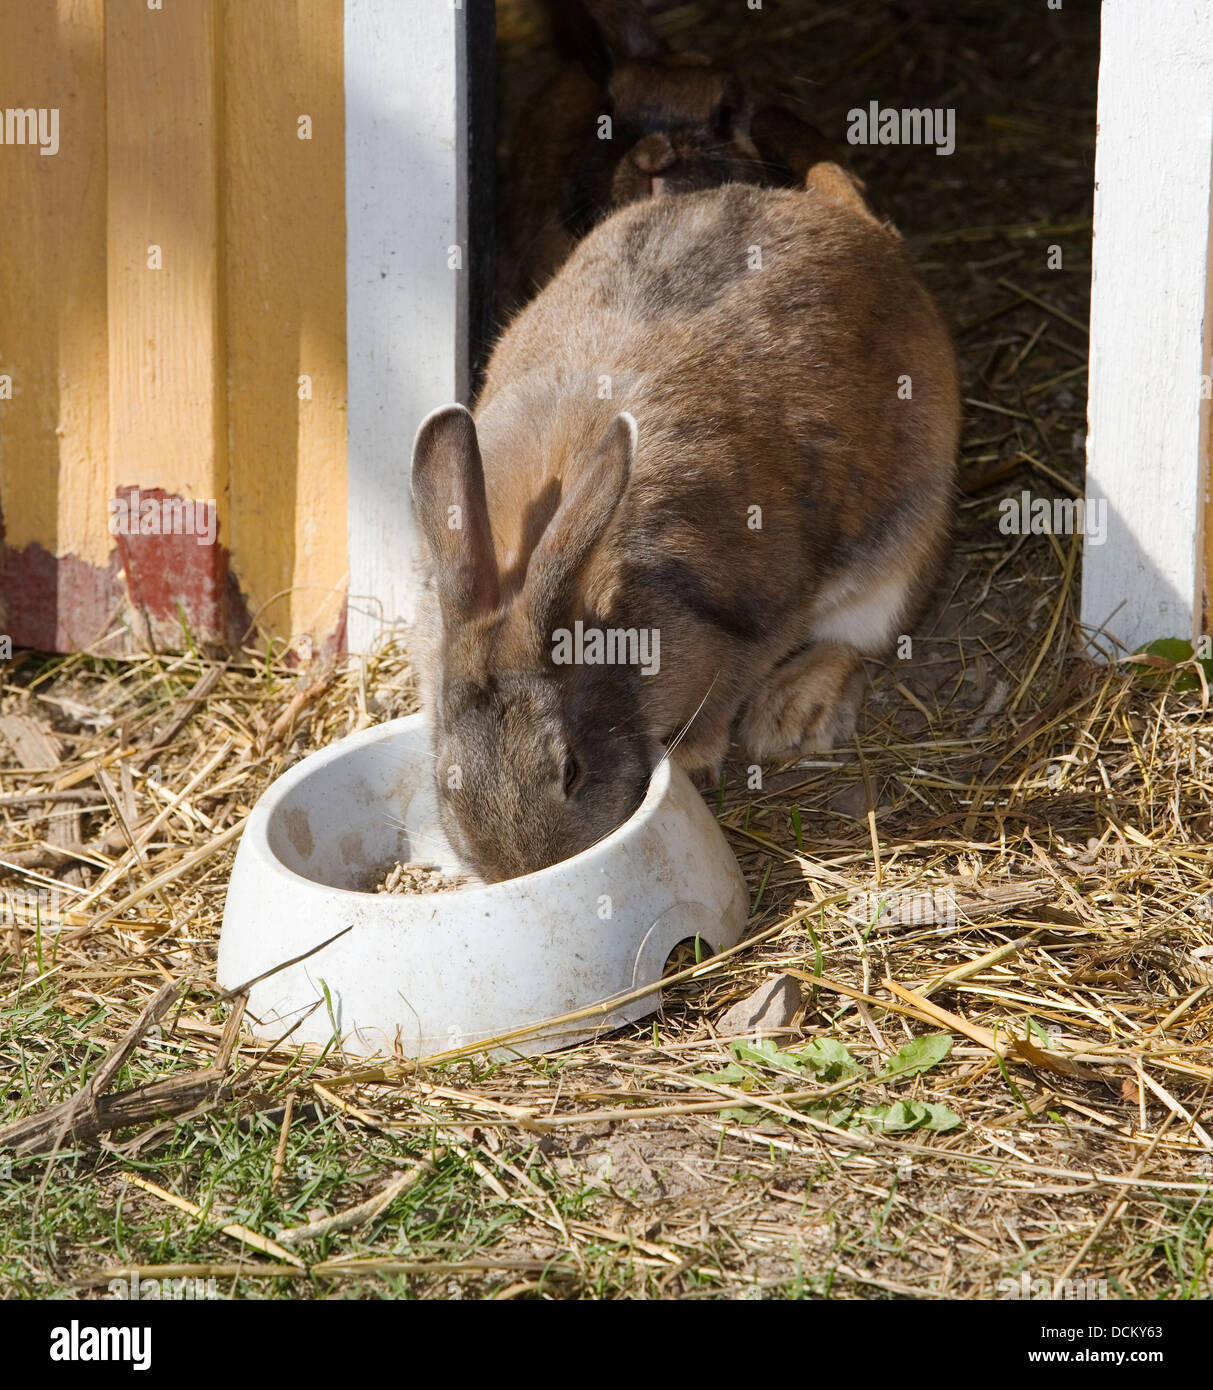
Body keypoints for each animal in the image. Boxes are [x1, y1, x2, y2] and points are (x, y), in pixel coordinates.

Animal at [411, 174, 960, 883]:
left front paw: (698, 756)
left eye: (570, 770)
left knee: (864, 638)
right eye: (446, 783)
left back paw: (790, 712)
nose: (524, 872)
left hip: (909, 536)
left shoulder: (763, 613)